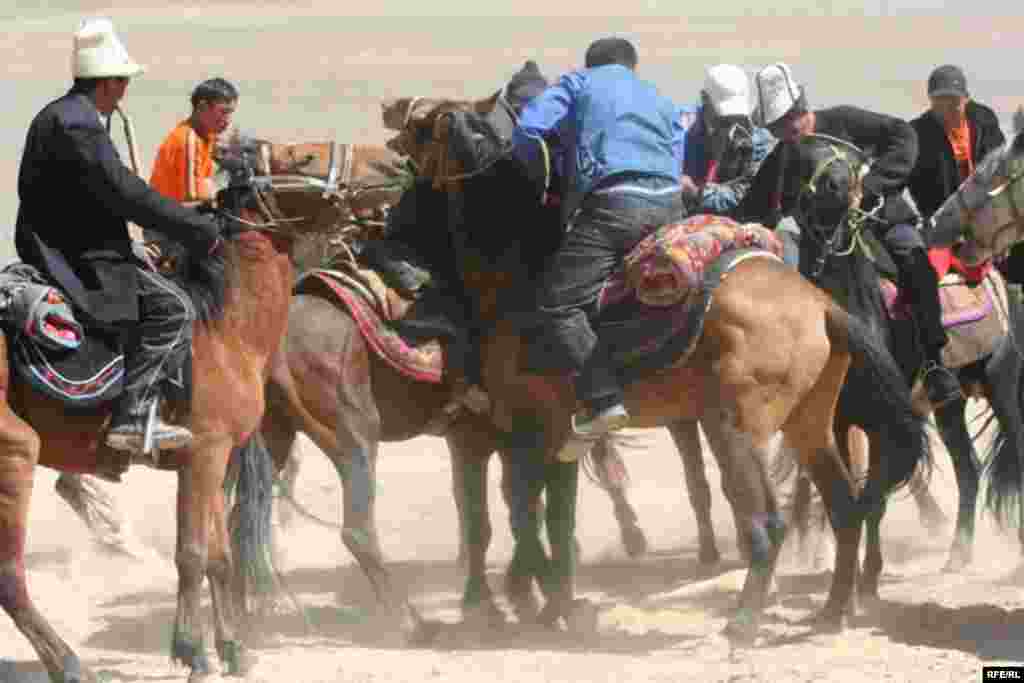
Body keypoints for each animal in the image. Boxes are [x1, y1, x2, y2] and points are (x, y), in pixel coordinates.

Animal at [0, 167, 327, 679]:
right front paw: (194, 652)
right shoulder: (202, 455)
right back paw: (69, 663)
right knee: (10, 575)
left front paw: (233, 649)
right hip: (15, 453)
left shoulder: (216, 460)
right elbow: (191, 555)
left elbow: (218, 556)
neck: (226, 328)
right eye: (306, 162)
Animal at [391, 100, 937, 643]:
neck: (518, 274)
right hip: (810, 424)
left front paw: (541, 602)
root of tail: (822, 306)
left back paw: (745, 620)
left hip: (735, 427)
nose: (394, 215)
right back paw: (830, 611)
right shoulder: (555, 435)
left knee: (770, 519)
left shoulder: (529, 429)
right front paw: (557, 605)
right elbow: (555, 518)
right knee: (845, 506)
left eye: (420, 132)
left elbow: (525, 512)